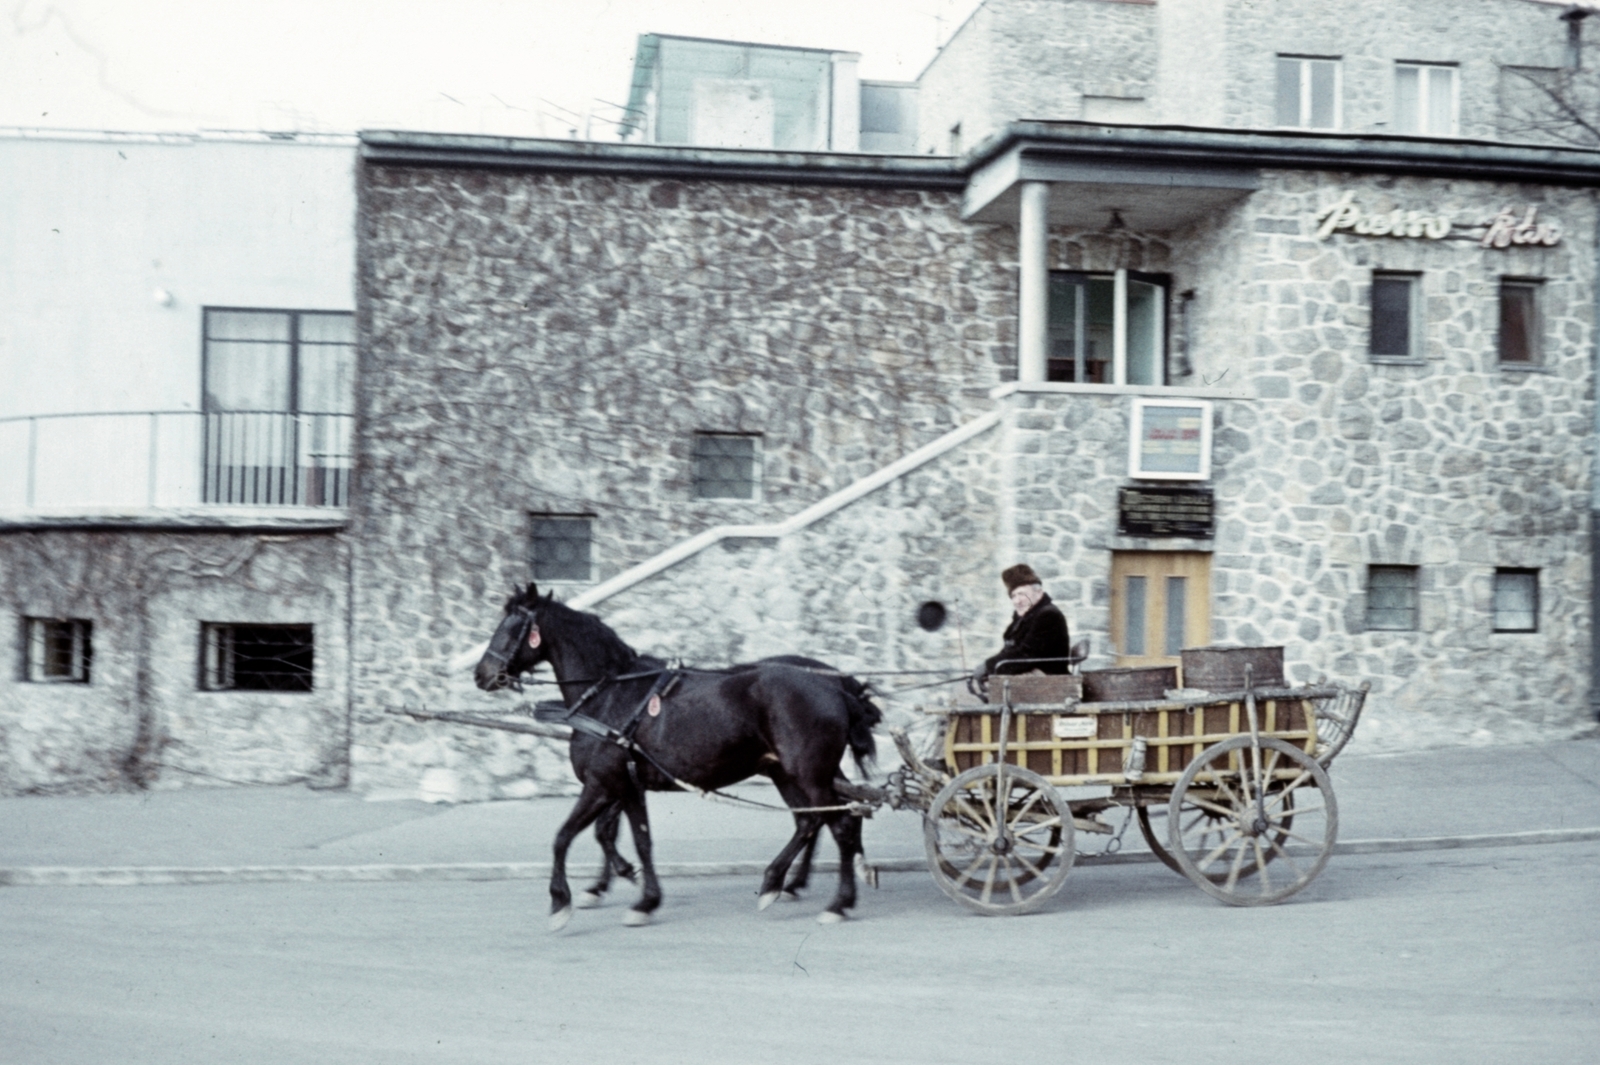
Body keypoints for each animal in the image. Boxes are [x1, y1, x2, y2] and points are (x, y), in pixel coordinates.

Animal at [473, 585, 883, 927]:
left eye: (511, 625)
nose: (482, 674)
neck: (608, 697)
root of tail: (834, 687)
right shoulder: (621, 786)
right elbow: (617, 836)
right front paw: (627, 890)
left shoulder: (606, 783)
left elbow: (575, 837)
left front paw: (574, 901)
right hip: (790, 773)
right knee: (814, 820)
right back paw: (786, 882)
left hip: (808, 773)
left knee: (838, 824)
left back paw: (834, 901)